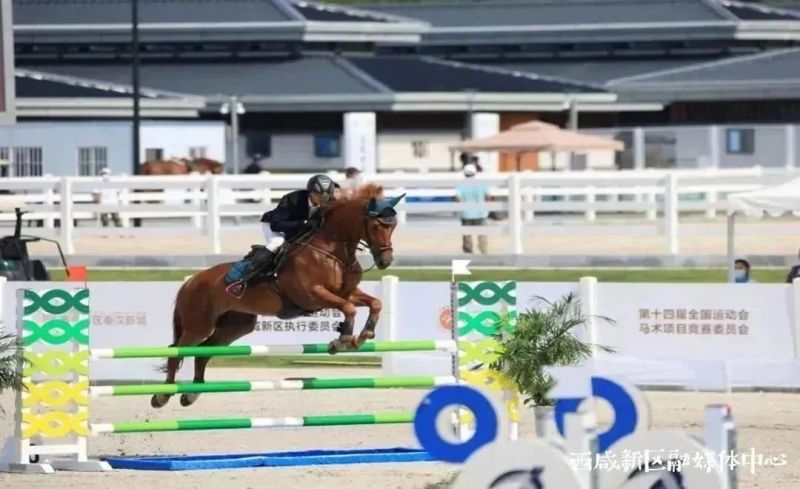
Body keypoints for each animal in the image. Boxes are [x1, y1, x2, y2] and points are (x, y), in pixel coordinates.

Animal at [150, 183, 405, 408]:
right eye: (377, 225)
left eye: (393, 226)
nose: (385, 261)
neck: (331, 249)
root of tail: (191, 281)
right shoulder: (313, 295)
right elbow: (349, 309)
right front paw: (342, 340)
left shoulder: (347, 293)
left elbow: (375, 303)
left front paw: (362, 336)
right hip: (198, 324)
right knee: (177, 352)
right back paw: (162, 396)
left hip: (235, 326)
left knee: (203, 353)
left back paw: (192, 394)